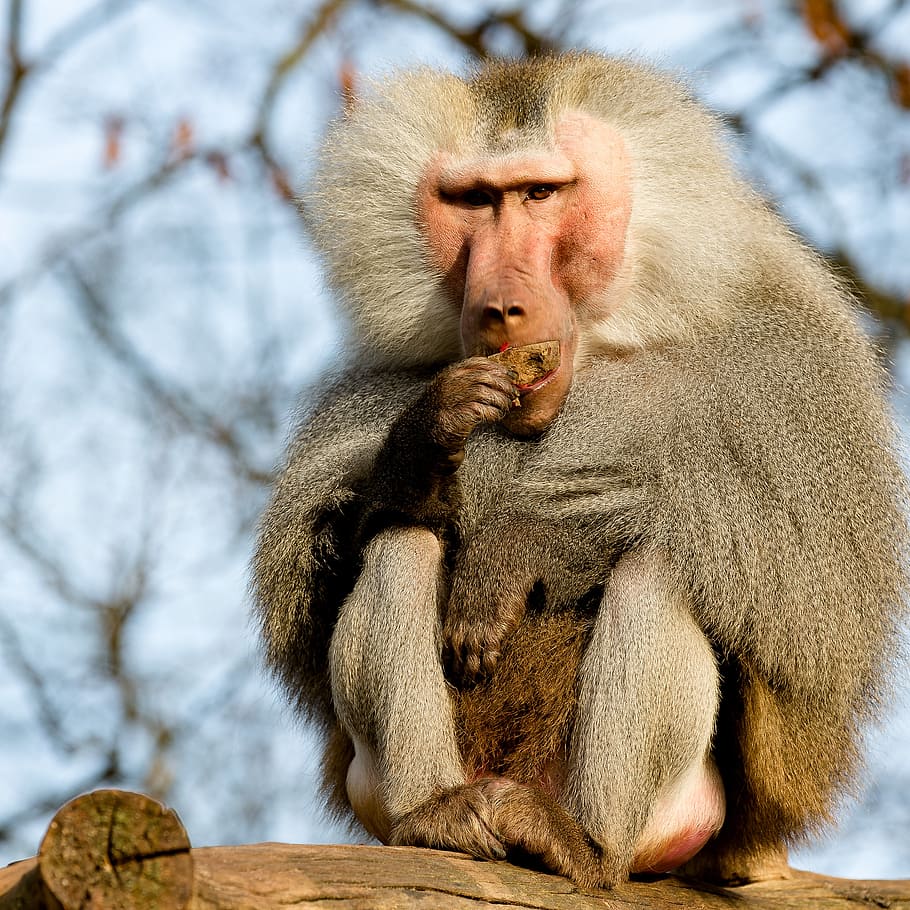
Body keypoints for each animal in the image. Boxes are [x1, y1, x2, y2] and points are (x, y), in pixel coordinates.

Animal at [252, 54, 909, 890]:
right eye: (474, 201)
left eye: (540, 193)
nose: (500, 306)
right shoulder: (368, 400)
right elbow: (318, 583)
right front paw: (426, 445)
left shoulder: (792, 377)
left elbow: (799, 614)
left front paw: (527, 544)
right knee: (401, 540)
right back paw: (437, 816)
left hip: (681, 826)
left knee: (665, 566)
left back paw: (581, 843)